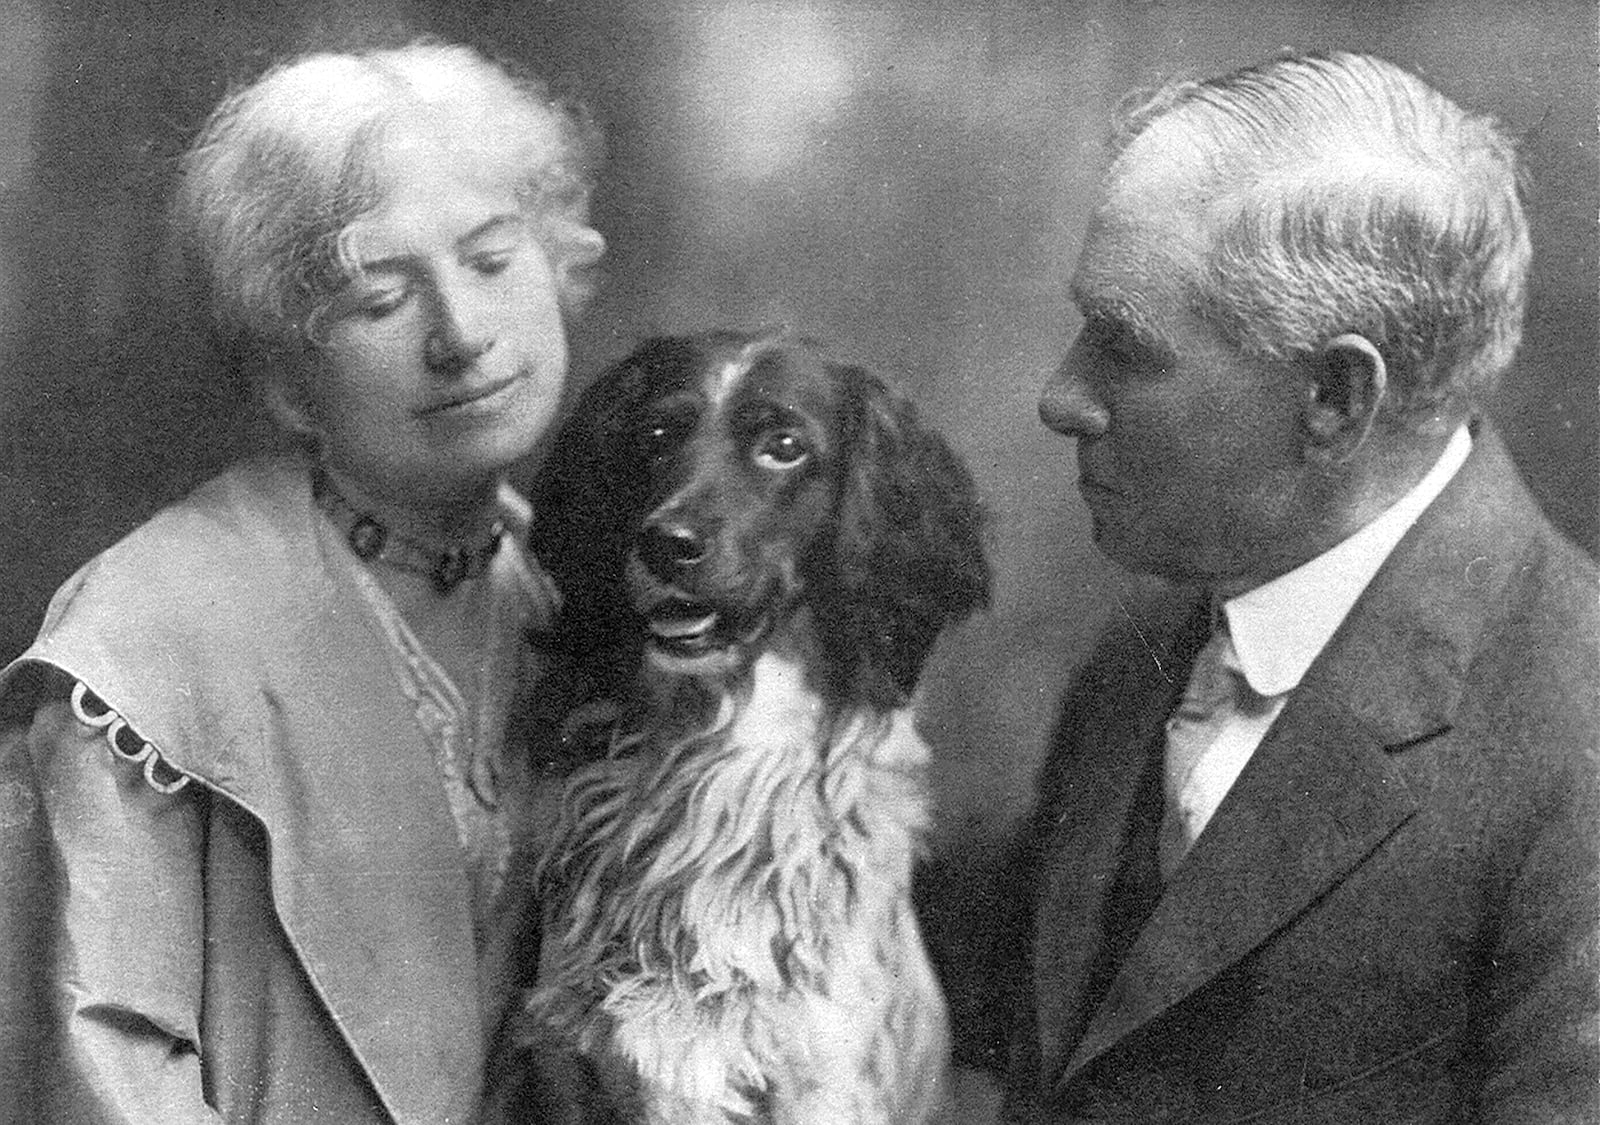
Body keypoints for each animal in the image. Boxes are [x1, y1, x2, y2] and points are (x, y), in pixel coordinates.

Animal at [486, 329, 985, 1120]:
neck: (713, 753)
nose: (666, 542)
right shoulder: (567, 1060)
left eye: (784, 446)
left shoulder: (824, 1079)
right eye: (656, 435)